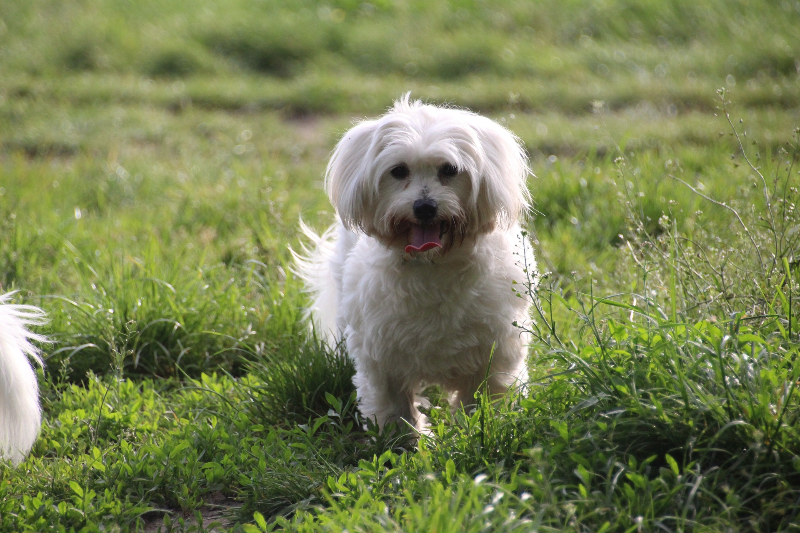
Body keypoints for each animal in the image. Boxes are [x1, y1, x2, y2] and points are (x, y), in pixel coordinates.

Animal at [296, 94, 536, 428]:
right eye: (398, 171)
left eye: (450, 169)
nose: (424, 207)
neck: (432, 265)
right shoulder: (381, 356)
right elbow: (395, 407)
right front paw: (407, 438)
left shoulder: (496, 351)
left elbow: (483, 400)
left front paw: (480, 427)